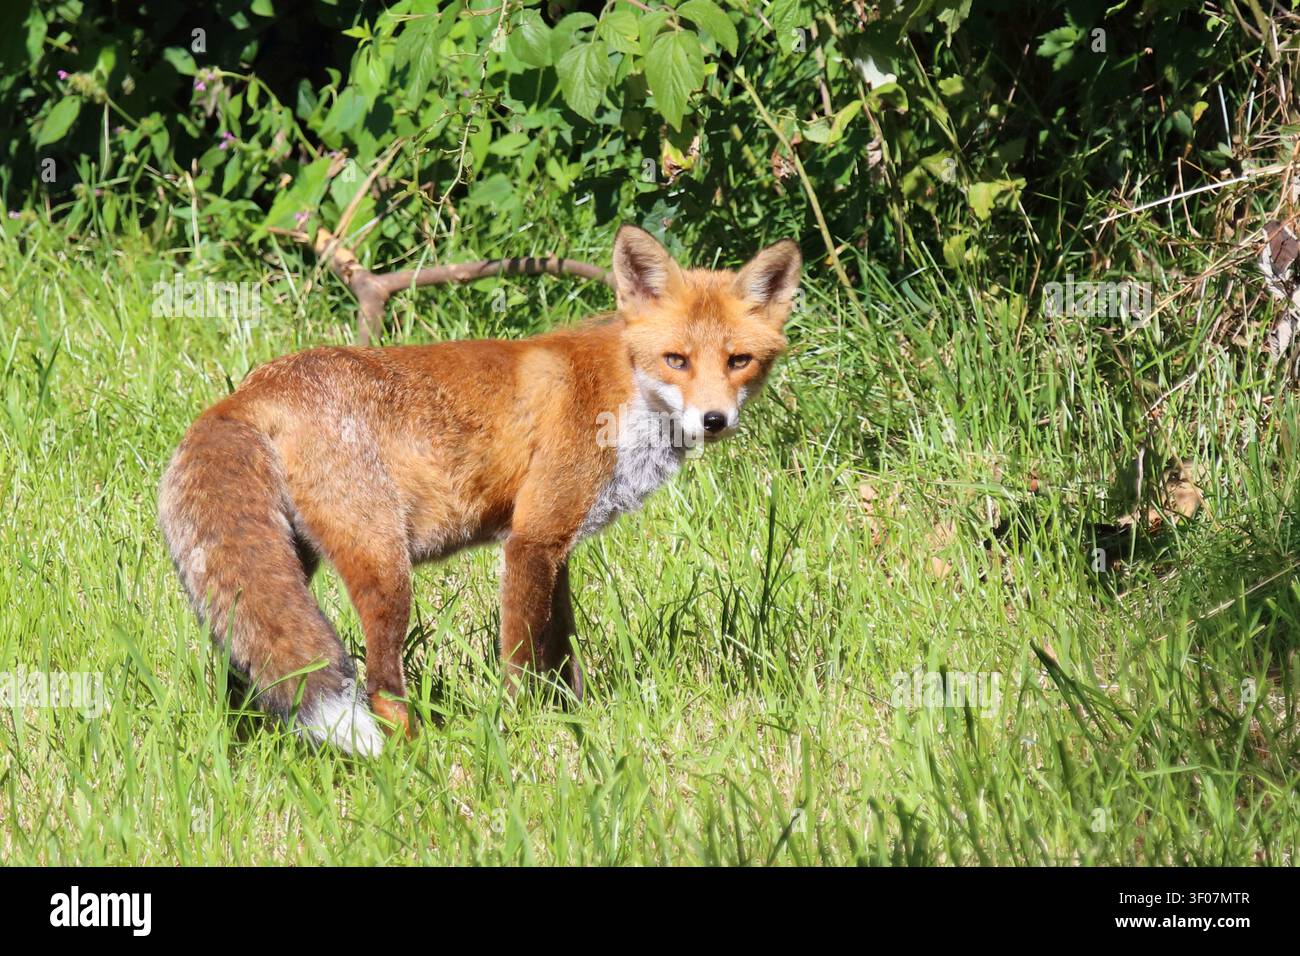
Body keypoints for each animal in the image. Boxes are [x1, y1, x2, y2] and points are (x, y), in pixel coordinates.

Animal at [158, 225, 802, 755]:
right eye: (677, 360)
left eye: (738, 360)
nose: (714, 420)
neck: (622, 390)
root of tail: (247, 389)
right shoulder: (530, 542)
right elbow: (519, 660)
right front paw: (524, 734)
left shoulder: (552, 541)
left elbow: (563, 655)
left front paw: (577, 722)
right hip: (386, 570)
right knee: (381, 687)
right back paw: (416, 762)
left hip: (284, 567)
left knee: (245, 670)